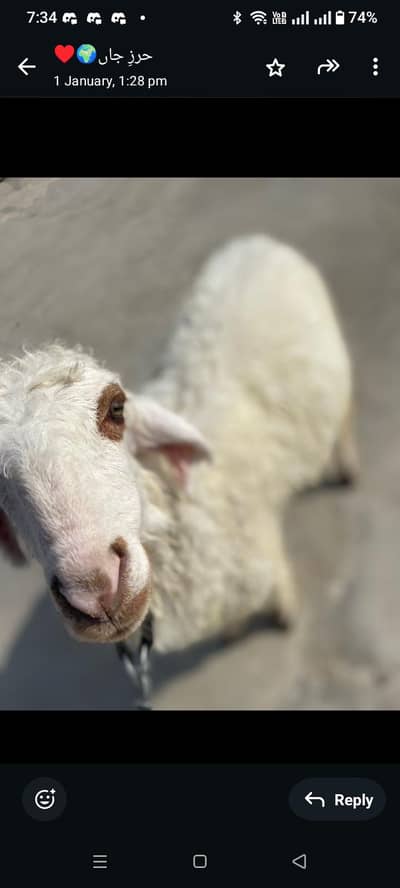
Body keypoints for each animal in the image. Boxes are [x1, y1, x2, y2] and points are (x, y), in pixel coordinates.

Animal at [0, 235, 359, 654]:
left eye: (117, 409)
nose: (94, 587)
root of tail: (254, 241)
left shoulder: (264, 554)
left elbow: (281, 589)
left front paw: (288, 615)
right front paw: (233, 630)